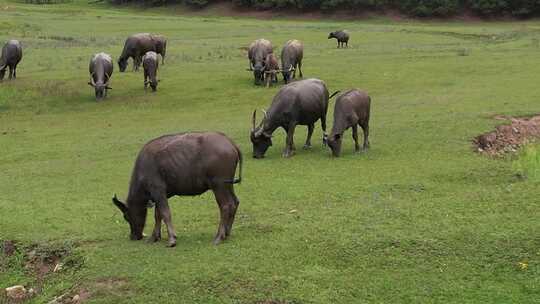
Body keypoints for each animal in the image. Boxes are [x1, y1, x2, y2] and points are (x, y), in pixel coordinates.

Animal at [112, 131, 243, 247]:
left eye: (126, 217)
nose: (133, 236)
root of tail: (230, 143)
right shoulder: (161, 195)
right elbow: (158, 215)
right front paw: (154, 237)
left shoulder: (158, 192)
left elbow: (165, 213)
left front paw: (172, 239)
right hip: (228, 185)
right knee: (234, 202)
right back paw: (227, 233)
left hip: (219, 186)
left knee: (225, 206)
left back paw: (219, 236)